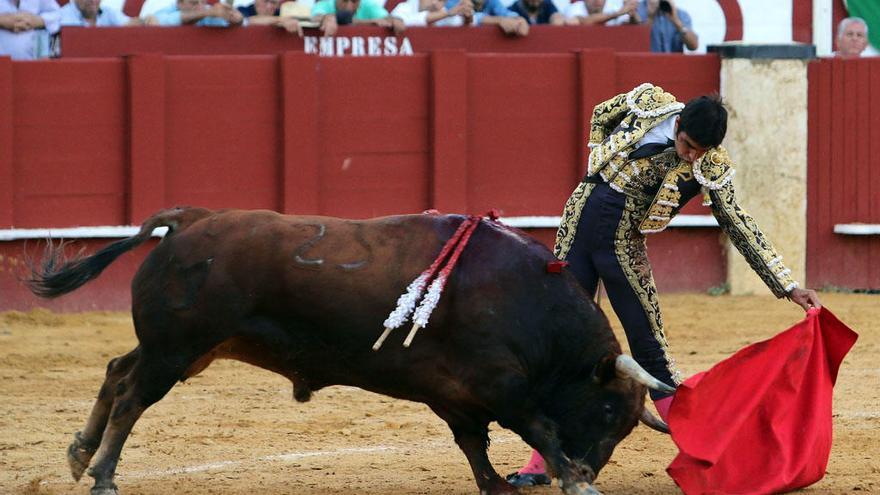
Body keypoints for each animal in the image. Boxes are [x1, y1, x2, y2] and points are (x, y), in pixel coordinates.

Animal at [29, 207, 672, 495]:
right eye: (609, 411)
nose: (594, 465)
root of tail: (188, 220)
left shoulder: (456, 395)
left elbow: (474, 444)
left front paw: (498, 485)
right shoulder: (501, 386)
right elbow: (538, 427)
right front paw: (575, 480)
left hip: (183, 349)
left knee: (117, 373)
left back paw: (80, 453)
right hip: (176, 348)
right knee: (132, 396)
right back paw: (103, 475)